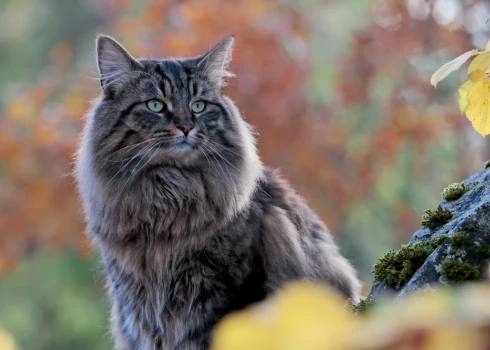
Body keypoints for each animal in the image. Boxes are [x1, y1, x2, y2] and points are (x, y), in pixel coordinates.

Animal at [74, 33, 362, 350]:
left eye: (199, 105)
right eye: (155, 105)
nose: (186, 127)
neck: (169, 201)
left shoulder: (224, 291)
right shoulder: (135, 306)